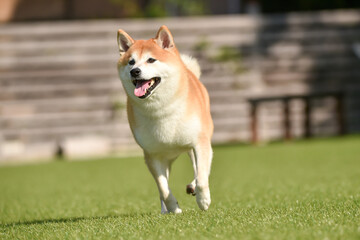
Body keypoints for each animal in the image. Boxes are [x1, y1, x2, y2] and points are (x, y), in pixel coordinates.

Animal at [116, 25, 214, 214]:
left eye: (151, 60)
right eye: (131, 62)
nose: (135, 71)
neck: (162, 109)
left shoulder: (200, 142)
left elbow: (202, 176)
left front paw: (203, 200)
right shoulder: (152, 155)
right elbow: (163, 188)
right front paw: (173, 207)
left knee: (198, 168)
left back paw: (193, 188)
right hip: (166, 157)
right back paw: (165, 210)